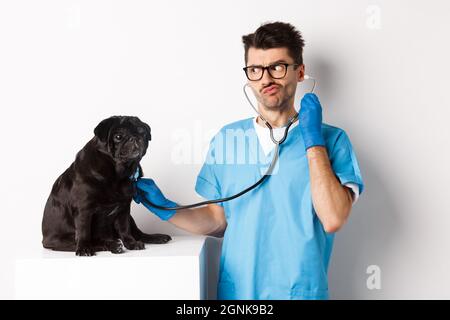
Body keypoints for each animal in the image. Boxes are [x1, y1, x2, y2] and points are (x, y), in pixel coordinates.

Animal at [41, 115, 171, 255]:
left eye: (142, 132)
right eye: (118, 136)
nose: (135, 137)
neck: (117, 173)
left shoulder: (124, 208)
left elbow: (125, 229)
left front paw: (131, 243)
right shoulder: (84, 209)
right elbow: (84, 231)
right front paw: (84, 248)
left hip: (130, 219)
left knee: (137, 233)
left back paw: (154, 238)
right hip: (59, 241)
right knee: (84, 242)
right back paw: (111, 245)